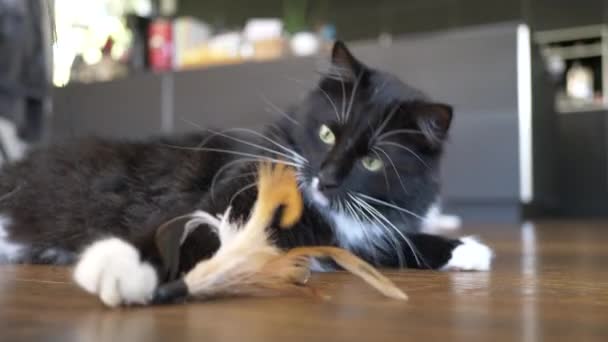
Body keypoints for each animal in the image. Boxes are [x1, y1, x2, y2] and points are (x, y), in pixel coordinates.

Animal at [0, 41, 492, 306]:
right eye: (327, 134)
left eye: (372, 162)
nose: (327, 177)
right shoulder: (226, 193)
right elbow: (176, 227)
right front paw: (119, 266)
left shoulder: (360, 232)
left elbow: (395, 242)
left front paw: (467, 249)